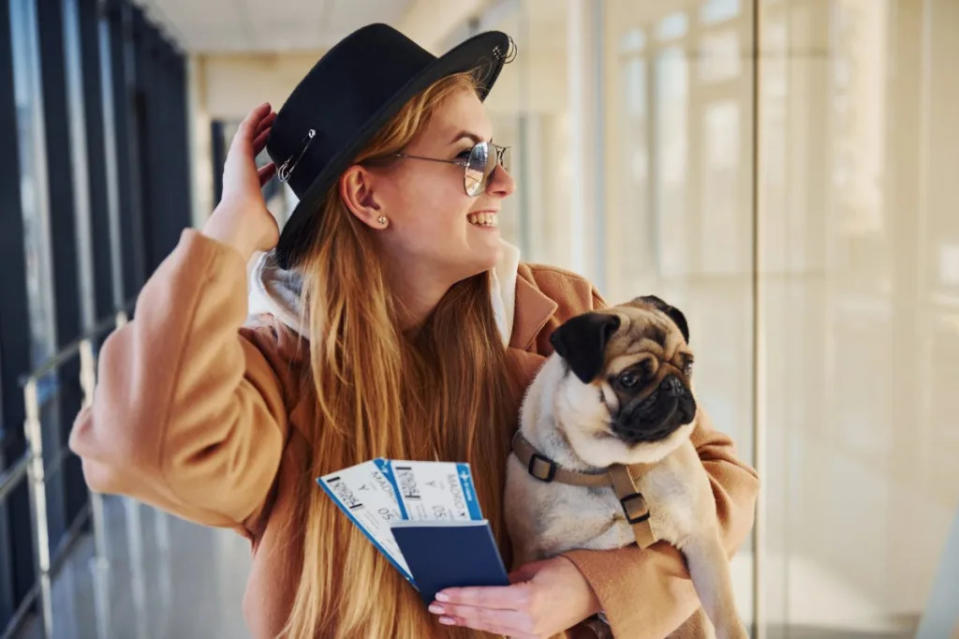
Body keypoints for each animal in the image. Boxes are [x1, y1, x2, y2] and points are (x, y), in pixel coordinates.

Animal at [506, 298, 748, 639]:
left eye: (688, 365)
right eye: (629, 379)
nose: (674, 384)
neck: (614, 467)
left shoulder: (703, 541)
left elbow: (726, 615)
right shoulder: (530, 552)